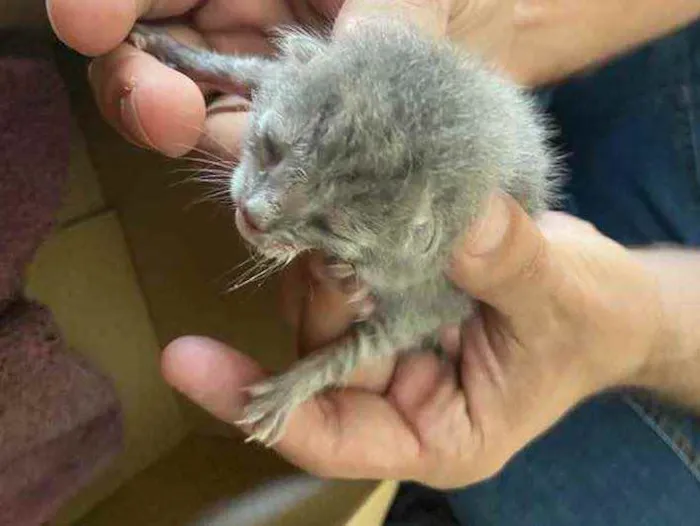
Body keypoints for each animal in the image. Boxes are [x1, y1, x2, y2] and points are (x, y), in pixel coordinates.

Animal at [129, 21, 560, 450]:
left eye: (327, 225)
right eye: (271, 148)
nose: (253, 216)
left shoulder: (432, 295)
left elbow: (355, 350)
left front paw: (289, 388)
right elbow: (243, 67)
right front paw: (171, 48)